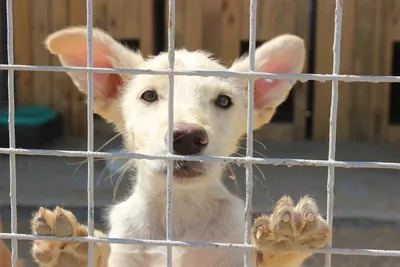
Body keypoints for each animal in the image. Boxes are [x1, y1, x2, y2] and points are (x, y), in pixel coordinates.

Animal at [28, 27, 332, 267]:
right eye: (149, 95)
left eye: (223, 100)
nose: (187, 137)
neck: (181, 212)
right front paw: (72, 253)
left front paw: (288, 237)